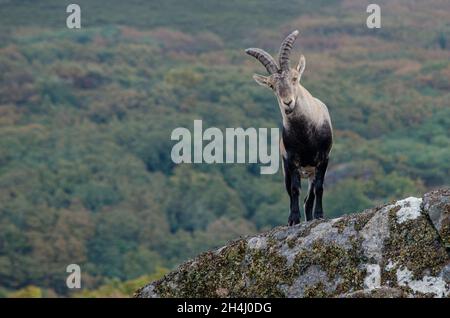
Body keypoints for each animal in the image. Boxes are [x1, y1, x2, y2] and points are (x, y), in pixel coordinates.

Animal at [244, 29, 332, 224]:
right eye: (271, 85)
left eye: (294, 78)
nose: (288, 103)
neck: (305, 134)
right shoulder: (290, 161)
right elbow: (294, 190)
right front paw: (293, 219)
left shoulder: (324, 159)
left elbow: (320, 188)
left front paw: (320, 215)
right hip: (289, 171)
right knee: (297, 195)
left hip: (311, 171)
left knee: (309, 198)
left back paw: (312, 217)